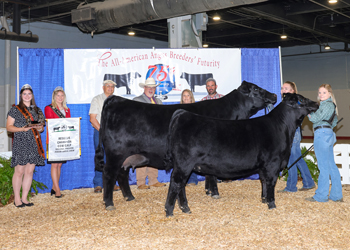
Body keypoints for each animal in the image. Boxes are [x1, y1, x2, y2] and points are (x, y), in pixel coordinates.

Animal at [96, 81, 276, 210]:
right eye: (256, 89)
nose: (274, 95)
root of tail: (115, 99)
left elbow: (209, 175)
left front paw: (208, 191)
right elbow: (213, 175)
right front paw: (215, 193)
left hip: (126, 156)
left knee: (122, 174)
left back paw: (129, 197)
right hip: (115, 153)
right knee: (109, 174)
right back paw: (109, 203)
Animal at [163, 94, 318, 217]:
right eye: (302, 99)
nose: (316, 103)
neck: (282, 127)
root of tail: (183, 114)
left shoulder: (263, 166)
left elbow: (263, 182)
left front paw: (264, 200)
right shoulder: (272, 163)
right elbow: (271, 183)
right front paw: (272, 204)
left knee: (181, 185)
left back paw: (185, 208)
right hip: (184, 164)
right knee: (176, 183)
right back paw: (169, 211)